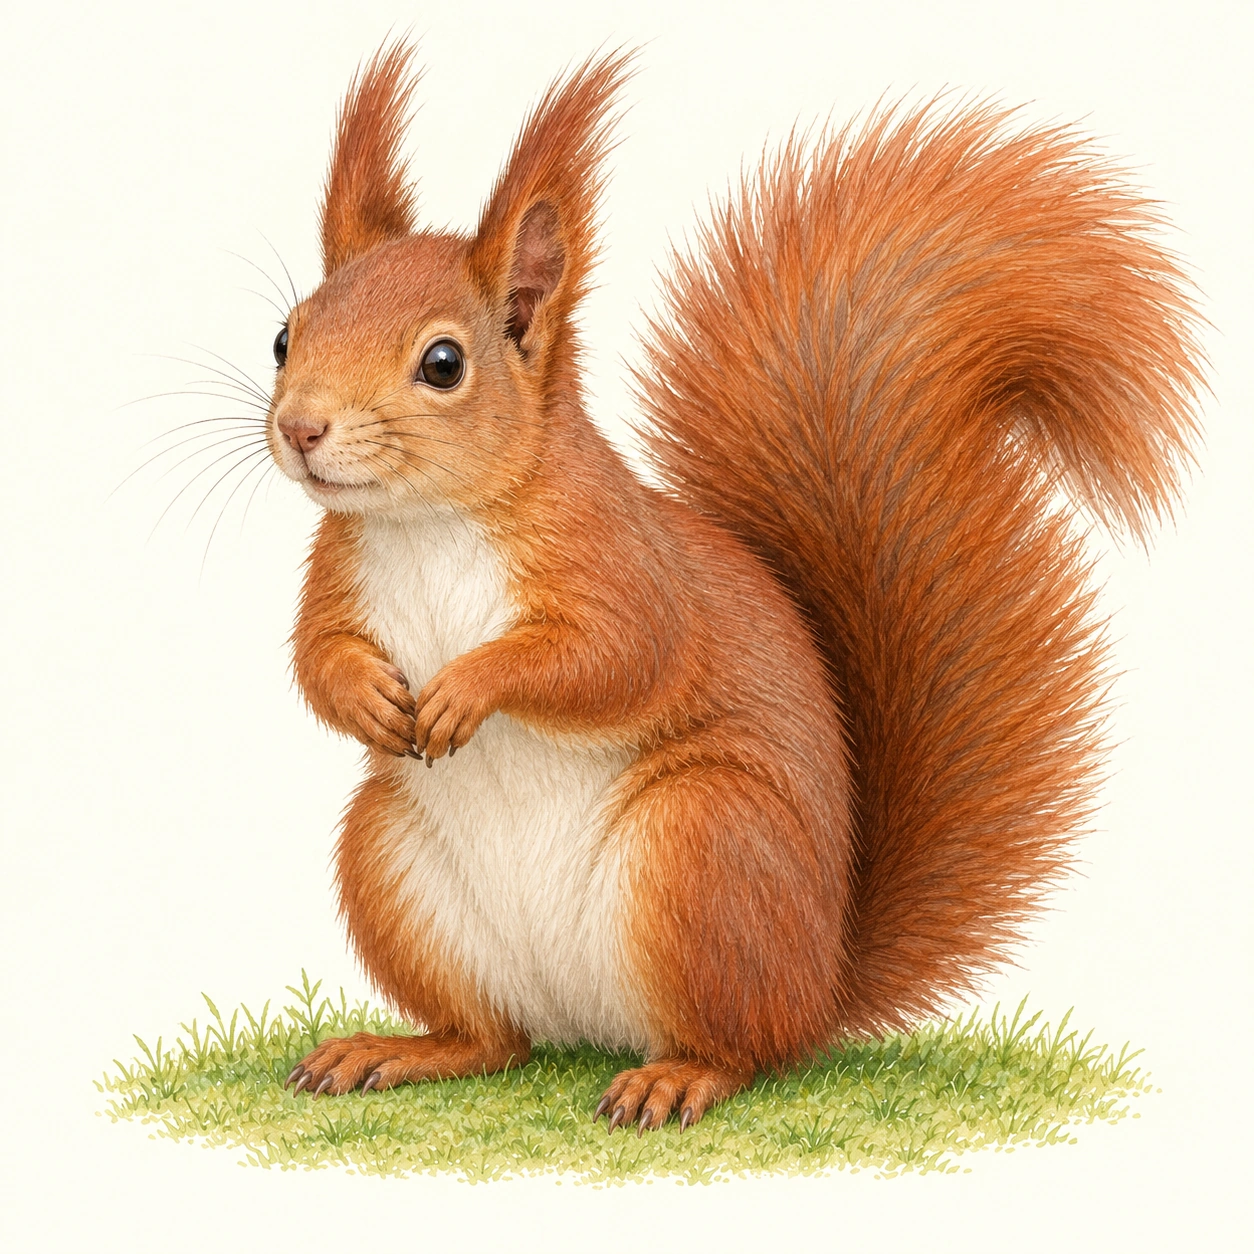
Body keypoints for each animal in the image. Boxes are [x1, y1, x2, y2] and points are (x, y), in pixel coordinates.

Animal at [270, 43, 1202, 1131]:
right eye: (285, 337)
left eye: (444, 363)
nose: (299, 429)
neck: (429, 523)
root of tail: (819, 986)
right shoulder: (338, 572)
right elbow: (314, 658)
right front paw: (369, 696)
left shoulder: (620, 562)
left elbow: (612, 657)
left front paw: (468, 686)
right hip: (395, 867)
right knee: (494, 1039)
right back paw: (398, 1050)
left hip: (702, 848)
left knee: (744, 1049)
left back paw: (678, 1077)